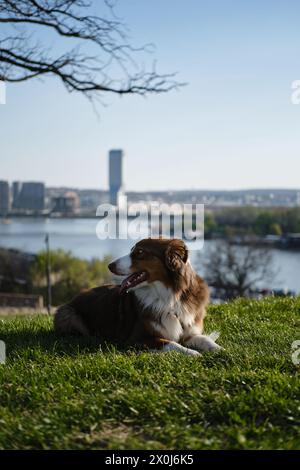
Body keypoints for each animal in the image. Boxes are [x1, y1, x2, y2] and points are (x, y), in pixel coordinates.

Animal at [54, 239, 220, 356]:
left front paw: (220, 350)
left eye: (139, 252)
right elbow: (171, 344)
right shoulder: (137, 339)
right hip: (67, 315)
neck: (169, 296)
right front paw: (192, 353)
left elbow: (205, 340)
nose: (109, 265)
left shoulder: (189, 331)